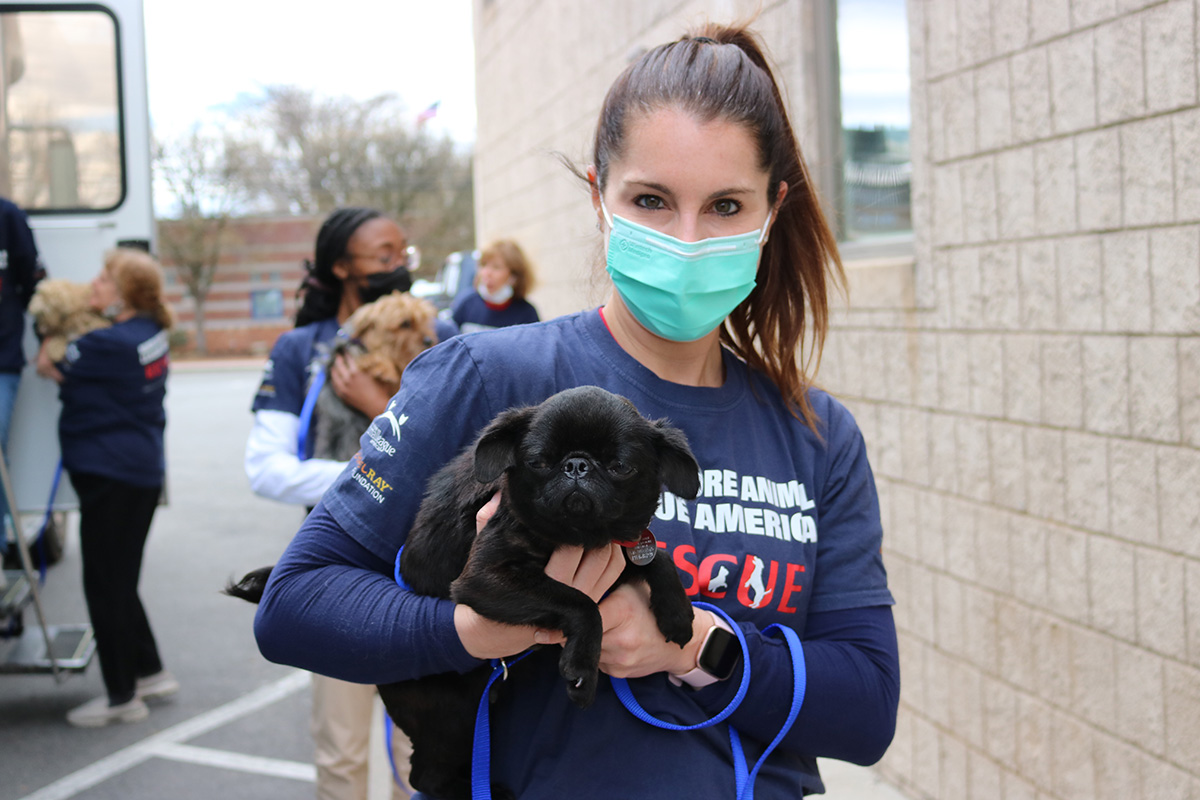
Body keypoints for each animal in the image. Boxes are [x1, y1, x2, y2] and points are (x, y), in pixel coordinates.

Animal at [228, 383, 700, 796]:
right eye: (539, 462)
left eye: (620, 467)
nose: (577, 465)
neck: (578, 537)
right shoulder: (483, 578)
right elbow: (583, 604)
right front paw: (582, 669)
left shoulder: (618, 548)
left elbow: (655, 556)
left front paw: (677, 613)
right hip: (452, 715)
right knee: (424, 775)